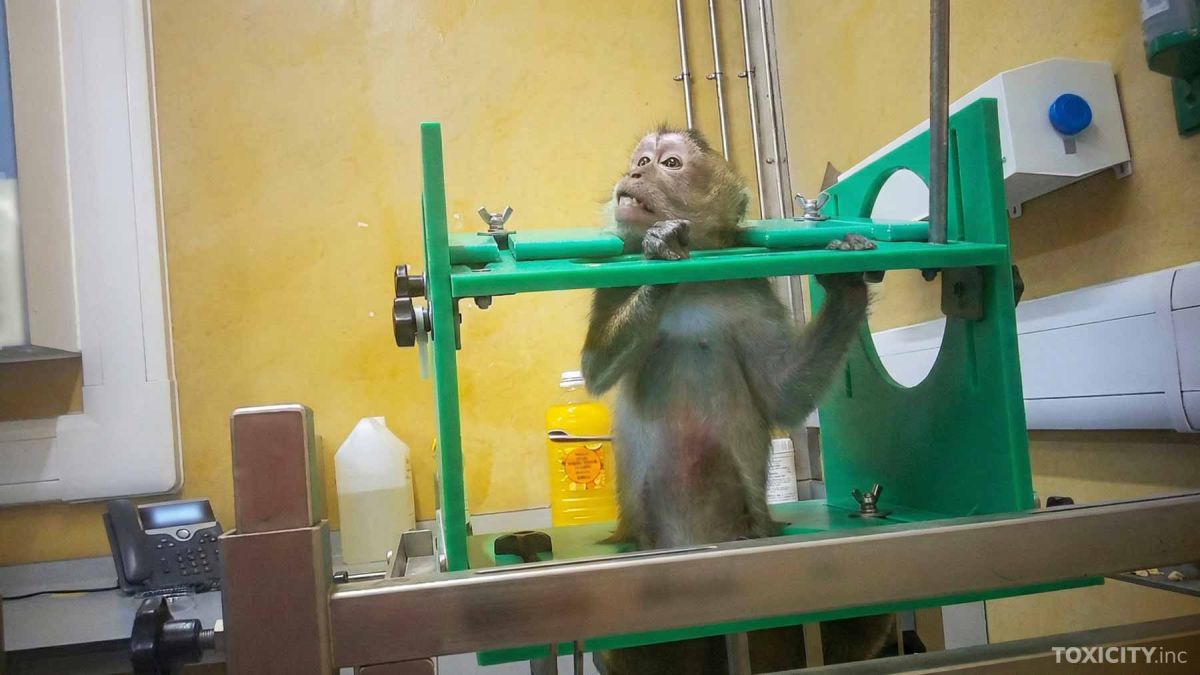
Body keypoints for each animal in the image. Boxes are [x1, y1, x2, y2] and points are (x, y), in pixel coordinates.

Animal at [582, 127, 893, 673]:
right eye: (641, 159)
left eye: (668, 163)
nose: (634, 173)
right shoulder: (609, 276)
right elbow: (595, 370)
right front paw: (661, 252)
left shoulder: (753, 290)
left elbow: (781, 396)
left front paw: (847, 284)